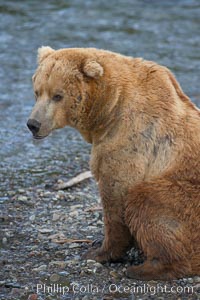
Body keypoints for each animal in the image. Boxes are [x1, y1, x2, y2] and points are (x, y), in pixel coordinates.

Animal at [27, 47, 200, 282]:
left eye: (57, 95)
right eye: (37, 92)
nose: (33, 124)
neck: (109, 108)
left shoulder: (128, 141)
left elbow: (116, 197)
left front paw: (99, 252)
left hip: (186, 195)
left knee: (147, 199)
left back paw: (145, 269)